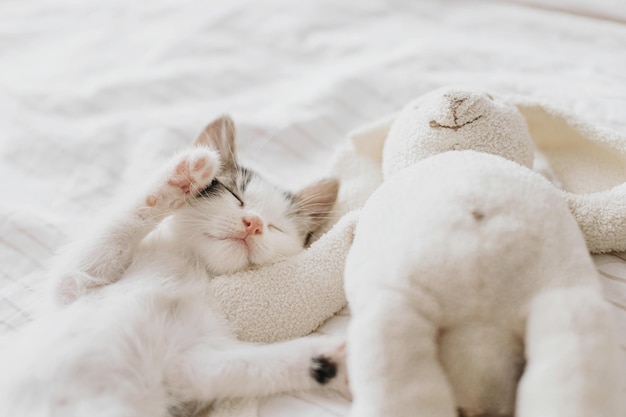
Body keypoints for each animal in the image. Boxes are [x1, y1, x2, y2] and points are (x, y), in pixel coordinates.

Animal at [0, 115, 344, 416]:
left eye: (276, 228)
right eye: (235, 195)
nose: (254, 224)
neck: (190, 265)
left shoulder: (189, 362)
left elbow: (241, 366)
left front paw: (334, 359)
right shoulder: (75, 282)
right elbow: (117, 228)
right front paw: (184, 175)